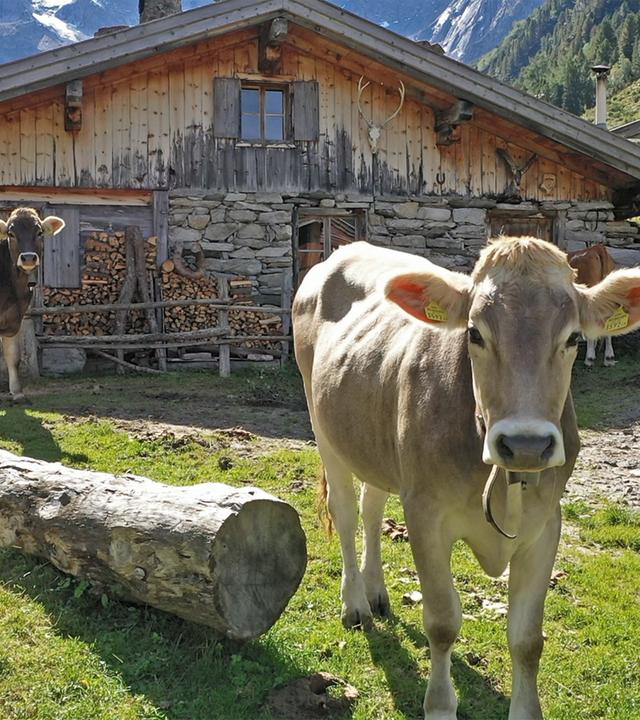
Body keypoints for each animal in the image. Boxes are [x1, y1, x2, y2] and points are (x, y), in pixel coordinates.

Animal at [0, 207, 65, 401]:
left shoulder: (14, 320)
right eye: (11, 233)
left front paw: (17, 392)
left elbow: (14, 356)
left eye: (39, 232)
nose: (28, 258)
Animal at [293, 237, 640, 720]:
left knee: (371, 508)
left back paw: (377, 591)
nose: (526, 443)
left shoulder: (546, 525)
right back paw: (356, 604)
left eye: (573, 338)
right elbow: (442, 623)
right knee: (344, 513)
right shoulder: (425, 515)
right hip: (324, 429)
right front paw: (440, 705)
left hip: (374, 443)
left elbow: (527, 639)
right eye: (474, 333)